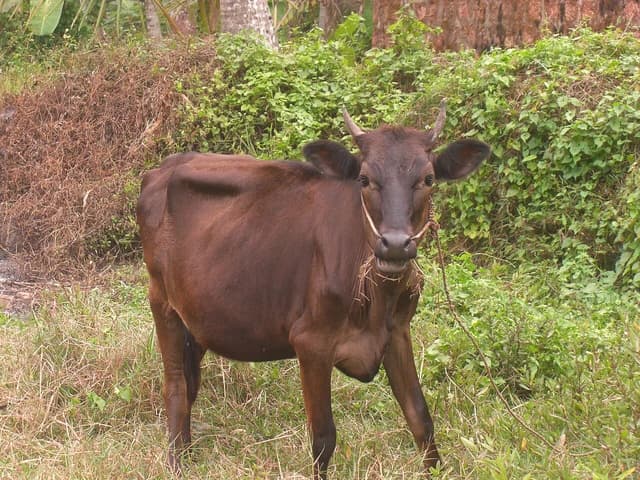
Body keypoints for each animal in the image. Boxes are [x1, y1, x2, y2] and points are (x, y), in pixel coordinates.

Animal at [136, 101, 490, 479]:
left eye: (428, 179)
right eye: (365, 179)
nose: (395, 244)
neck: (376, 300)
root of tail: (162, 168)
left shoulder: (397, 332)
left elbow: (420, 418)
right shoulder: (311, 343)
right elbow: (323, 437)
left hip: (198, 317)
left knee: (190, 384)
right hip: (162, 301)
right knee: (176, 386)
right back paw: (176, 462)